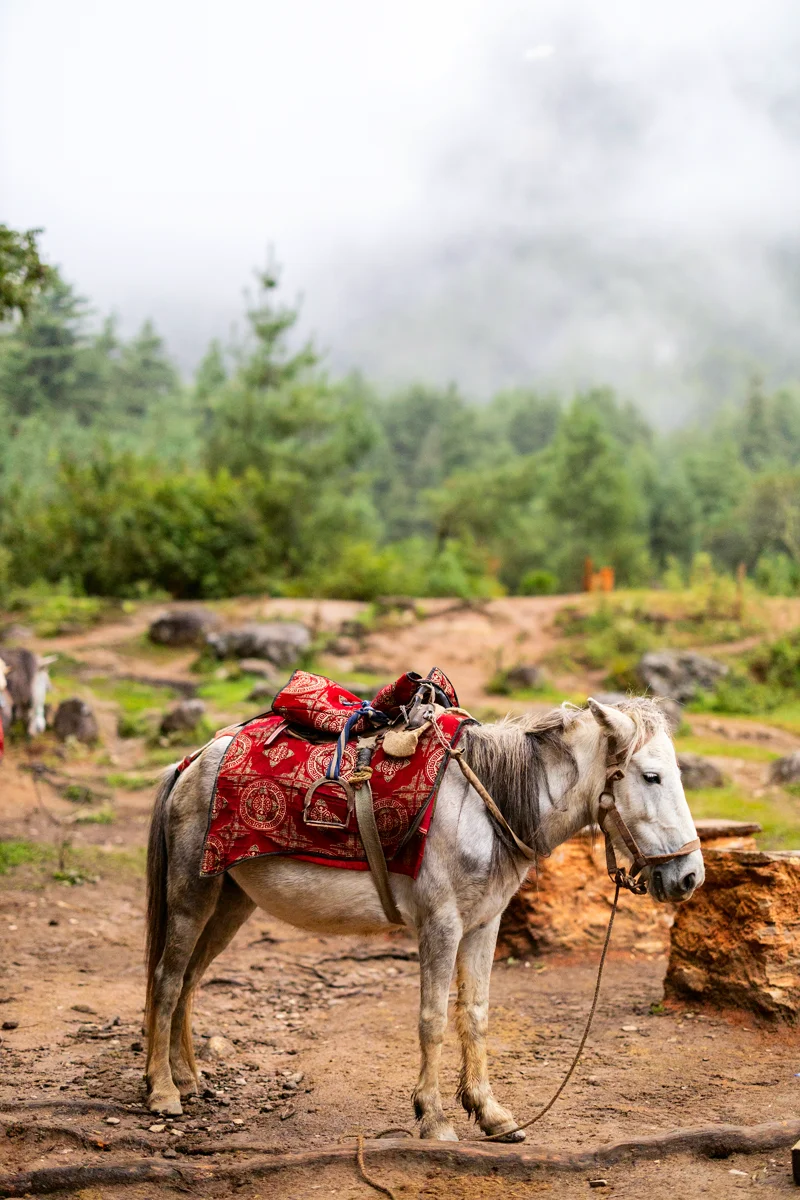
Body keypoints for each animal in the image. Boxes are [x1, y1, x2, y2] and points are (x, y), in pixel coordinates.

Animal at [143, 696, 703, 1139]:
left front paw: (491, 1113)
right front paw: (433, 1118)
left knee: (190, 980)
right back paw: (163, 1091)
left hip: (230, 903)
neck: (486, 807)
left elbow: (474, 1014)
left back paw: (188, 1079)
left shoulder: (483, 927)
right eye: (651, 776)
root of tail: (190, 764)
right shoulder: (441, 926)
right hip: (192, 896)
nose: (690, 876)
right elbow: (432, 1020)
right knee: (167, 980)